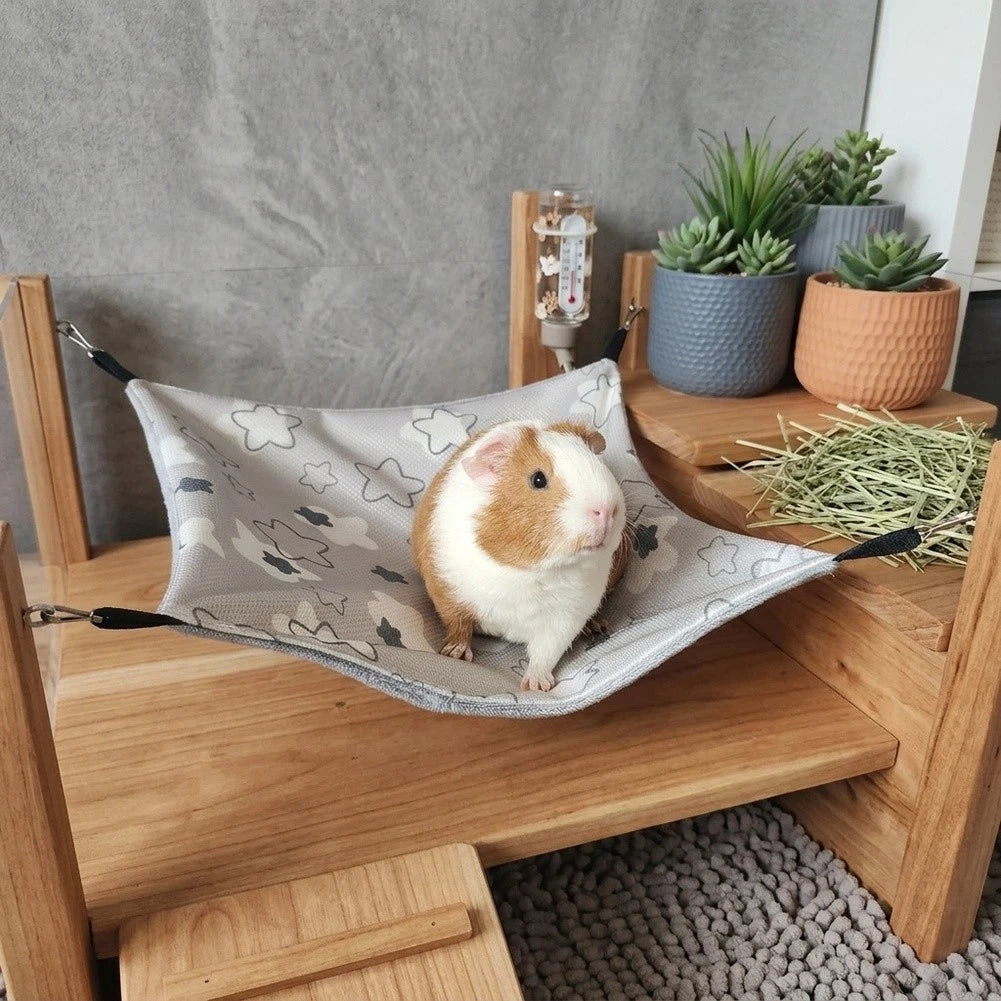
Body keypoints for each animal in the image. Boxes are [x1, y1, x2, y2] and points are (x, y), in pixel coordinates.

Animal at [412, 419, 629, 692]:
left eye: (598, 464)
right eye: (538, 479)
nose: (608, 510)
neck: (531, 571)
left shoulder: (565, 618)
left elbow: (545, 653)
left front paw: (537, 686)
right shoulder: (446, 589)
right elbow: (458, 626)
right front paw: (454, 655)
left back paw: (597, 627)